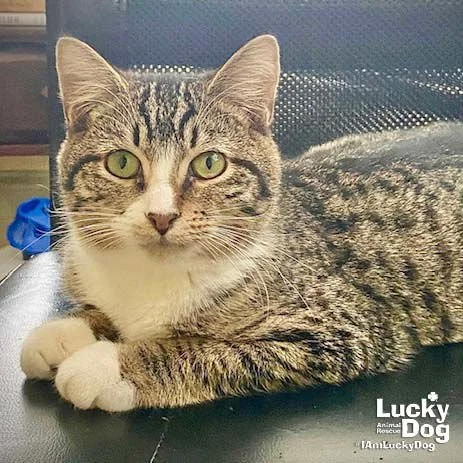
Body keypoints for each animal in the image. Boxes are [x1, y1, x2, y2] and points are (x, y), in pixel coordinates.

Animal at [20, 35, 463, 412]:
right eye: (122, 162)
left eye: (209, 164)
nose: (161, 215)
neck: (151, 277)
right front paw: (69, 331)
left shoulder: (340, 329)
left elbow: (205, 348)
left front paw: (105, 366)